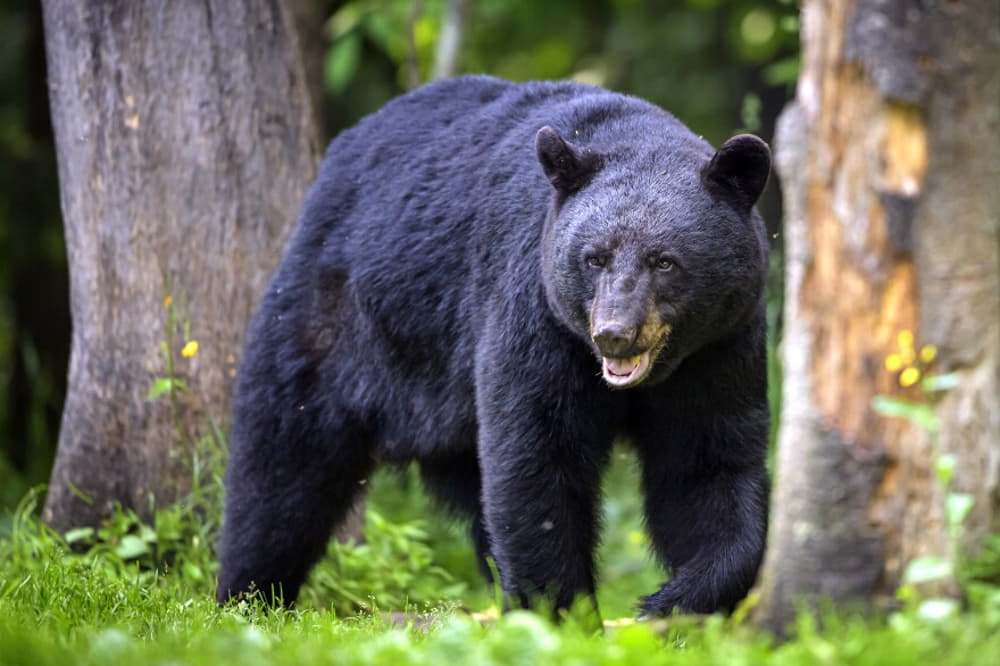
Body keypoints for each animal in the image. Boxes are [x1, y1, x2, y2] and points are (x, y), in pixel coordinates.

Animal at [215, 74, 768, 616]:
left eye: (665, 261)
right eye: (594, 257)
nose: (614, 332)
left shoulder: (719, 347)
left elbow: (707, 464)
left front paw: (674, 600)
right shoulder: (535, 312)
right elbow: (536, 456)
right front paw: (562, 611)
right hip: (336, 319)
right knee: (284, 464)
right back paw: (248, 595)